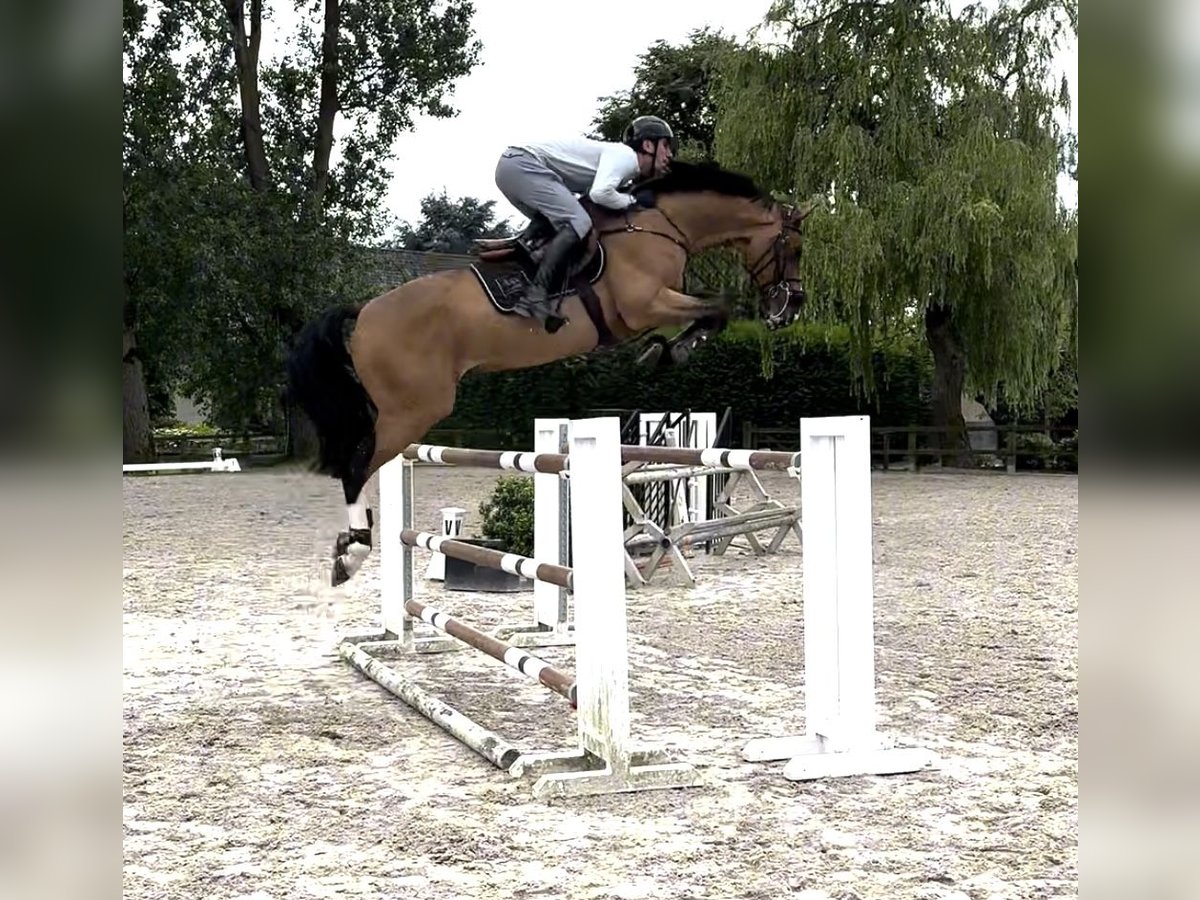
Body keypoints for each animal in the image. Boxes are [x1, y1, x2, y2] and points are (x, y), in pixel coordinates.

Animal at [285, 159, 811, 588]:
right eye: (795, 247)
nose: (790, 309)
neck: (658, 225)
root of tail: (364, 312)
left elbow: (713, 309)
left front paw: (666, 350)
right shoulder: (645, 303)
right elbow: (719, 307)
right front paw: (667, 351)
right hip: (414, 410)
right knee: (354, 466)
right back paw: (351, 553)